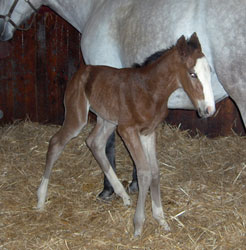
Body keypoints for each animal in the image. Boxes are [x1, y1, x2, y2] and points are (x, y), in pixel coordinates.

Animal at [37, 33, 215, 236]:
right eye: (192, 74)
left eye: (209, 71)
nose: (209, 110)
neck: (150, 91)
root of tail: (80, 73)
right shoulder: (128, 130)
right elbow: (144, 172)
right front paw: (138, 225)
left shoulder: (148, 132)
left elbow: (155, 171)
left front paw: (161, 220)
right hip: (78, 116)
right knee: (56, 142)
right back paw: (41, 199)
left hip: (107, 120)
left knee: (94, 143)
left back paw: (122, 195)